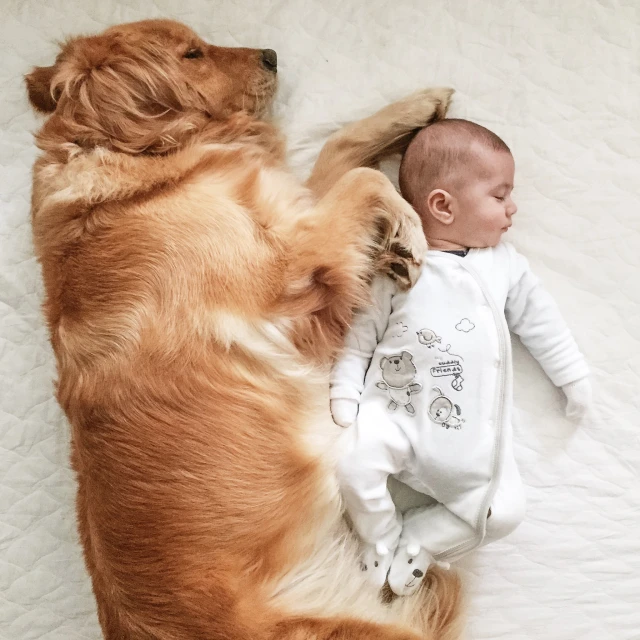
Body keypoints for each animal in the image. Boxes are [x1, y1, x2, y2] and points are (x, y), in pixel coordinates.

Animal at [26, 17, 460, 640]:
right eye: (193, 53)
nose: (272, 54)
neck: (130, 154)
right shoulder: (290, 268)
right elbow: (362, 180)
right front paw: (408, 229)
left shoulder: (295, 215)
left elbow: (339, 147)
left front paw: (415, 108)